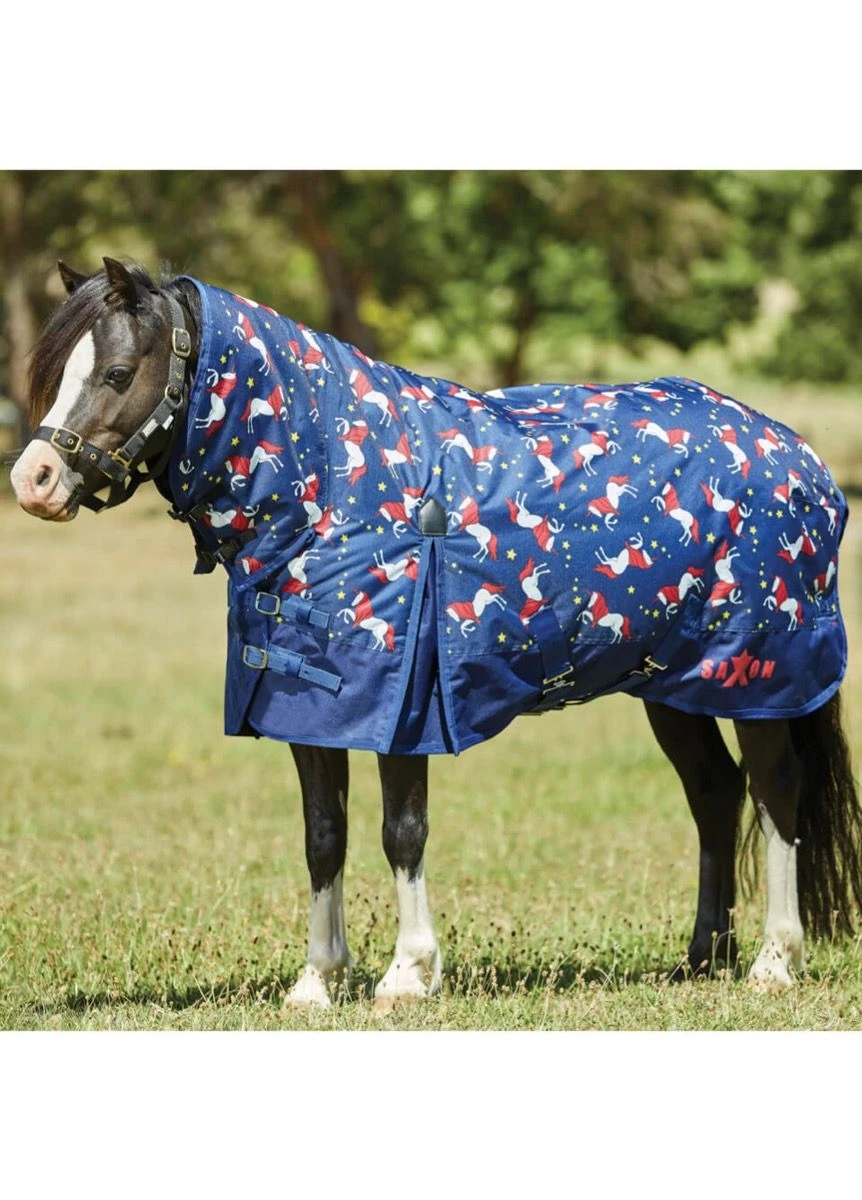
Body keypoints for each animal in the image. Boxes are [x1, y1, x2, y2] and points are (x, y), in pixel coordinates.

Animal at [10, 257, 862, 1008]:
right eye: (58, 372)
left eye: (118, 373)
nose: (33, 481)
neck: (332, 490)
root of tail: (799, 457)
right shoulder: (309, 708)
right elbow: (324, 836)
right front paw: (317, 982)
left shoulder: (403, 708)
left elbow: (402, 831)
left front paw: (408, 974)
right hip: (674, 682)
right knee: (714, 792)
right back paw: (701, 957)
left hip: (757, 676)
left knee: (776, 790)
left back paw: (773, 962)